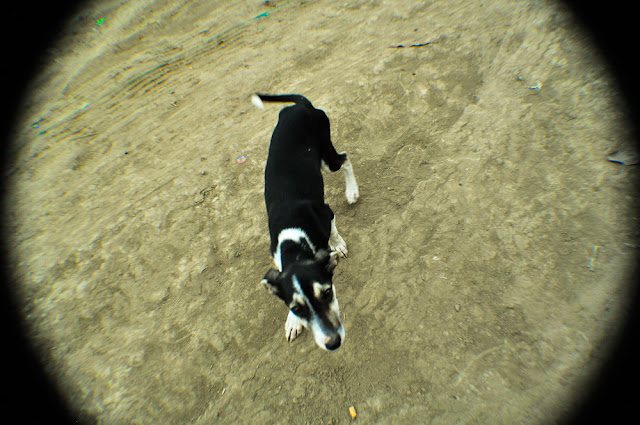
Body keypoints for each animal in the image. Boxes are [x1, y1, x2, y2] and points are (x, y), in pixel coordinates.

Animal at [252, 93, 359, 351]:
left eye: (328, 293)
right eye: (297, 308)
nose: (333, 342)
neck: (293, 239)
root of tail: (301, 106)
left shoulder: (326, 212)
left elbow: (333, 231)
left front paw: (338, 245)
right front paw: (292, 322)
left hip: (327, 156)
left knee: (345, 158)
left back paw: (352, 191)